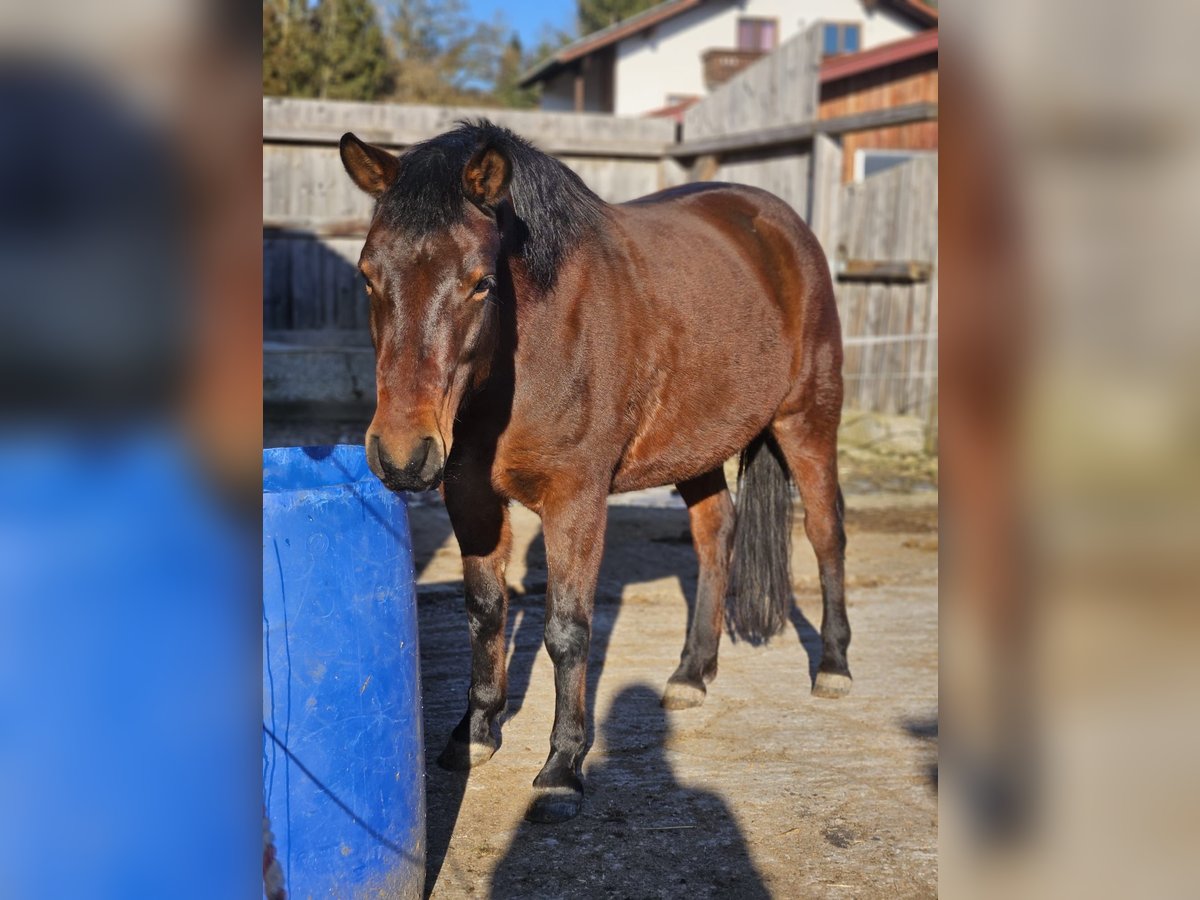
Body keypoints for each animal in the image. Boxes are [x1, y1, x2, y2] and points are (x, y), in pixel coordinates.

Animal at [338, 120, 854, 825]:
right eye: (367, 276)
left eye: (480, 282)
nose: (400, 455)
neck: (531, 352)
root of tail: (780, 224)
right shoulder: (468, 495)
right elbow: (485, 612)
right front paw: (476, 733)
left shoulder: (575, 499)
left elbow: (567, 630)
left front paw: (562, 766)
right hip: (695, 448)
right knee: (715, 536)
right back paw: (691, 674)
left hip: (808, 422)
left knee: (827, 536)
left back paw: (832, 665)